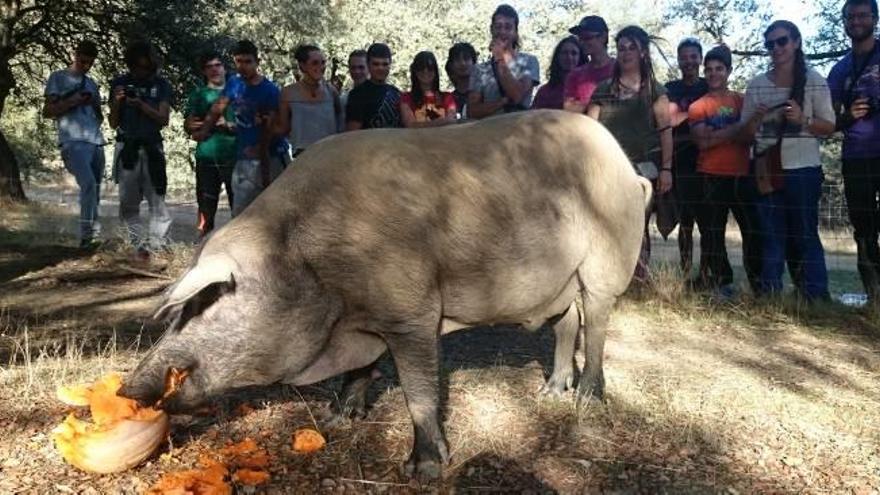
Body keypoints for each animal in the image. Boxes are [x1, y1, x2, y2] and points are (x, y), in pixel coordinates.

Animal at [120, 109, 648, 480]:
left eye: (205, 301)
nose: (126, 389)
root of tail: (628, 166)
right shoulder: (364, 319)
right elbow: (362, 368)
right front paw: (338, 418)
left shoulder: (412, 312)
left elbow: (419, 391)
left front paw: (424, 470)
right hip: (557, 283)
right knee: (567, 322)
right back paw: (550, 392)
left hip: (606, 259)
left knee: (596, 322)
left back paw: (586, 400)